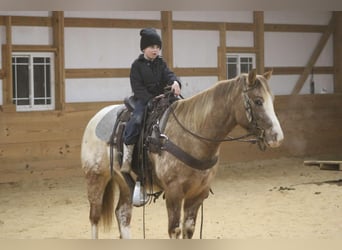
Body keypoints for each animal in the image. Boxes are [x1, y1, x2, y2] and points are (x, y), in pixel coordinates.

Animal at [80, 70, 284, 238]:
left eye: (272, 100)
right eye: (258, 101)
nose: (277, 137)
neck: (193, 135)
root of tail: (96, 118)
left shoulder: (198, 193)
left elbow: (188, 229)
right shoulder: (174, 192)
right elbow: (175, 230)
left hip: (125, 183)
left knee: (122, 215)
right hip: (96, 178)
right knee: (94, 217)